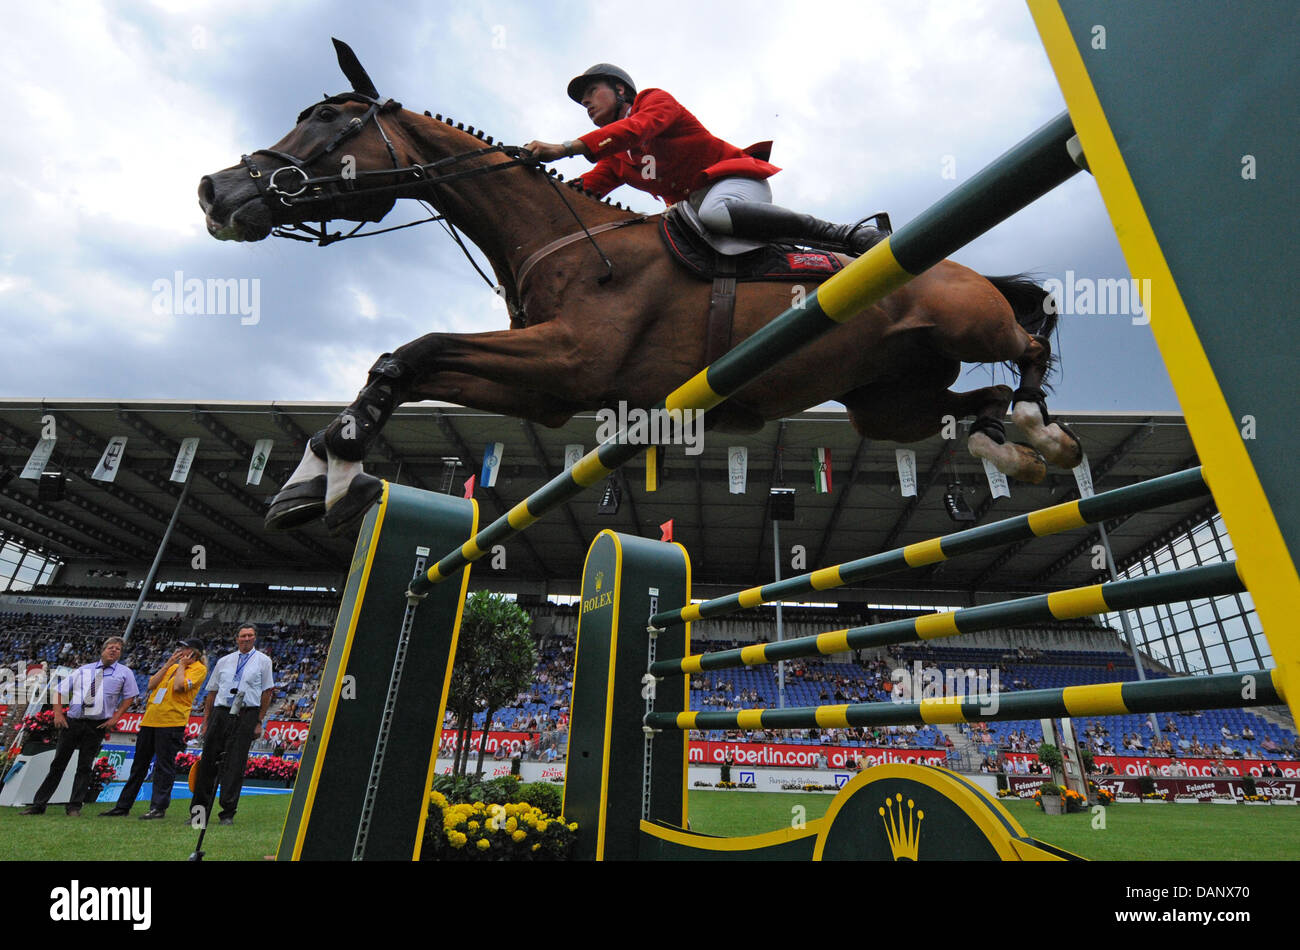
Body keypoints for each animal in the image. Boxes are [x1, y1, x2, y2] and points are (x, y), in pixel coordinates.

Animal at [197, 38, 1081, 535]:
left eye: (324, 119)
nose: (215, 191)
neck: (552, 237)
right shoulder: (546, 390)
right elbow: (406, 361)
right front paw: (311, 479)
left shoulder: (567, 360)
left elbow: (413, 351)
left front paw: (336, 474)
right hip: (889, 401)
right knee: (963, 406)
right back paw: (1017, 445)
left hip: (965, 322)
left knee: (1028, 332)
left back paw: (1034, 419)